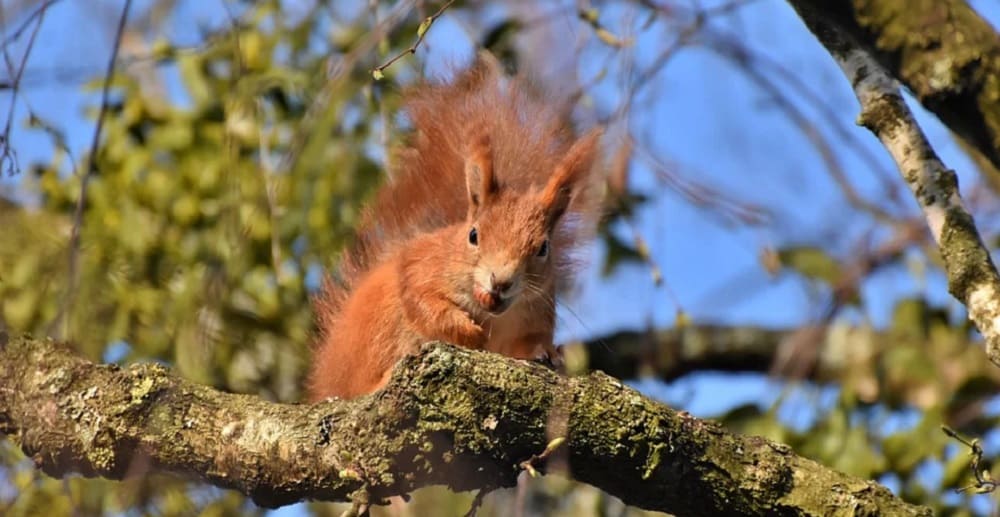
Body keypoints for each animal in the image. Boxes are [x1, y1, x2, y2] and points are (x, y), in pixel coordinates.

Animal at [307, 57, 603, 401]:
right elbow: (426, 305)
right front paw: (471, 334)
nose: (501, 282)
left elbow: (526, 344)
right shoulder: (419, 268)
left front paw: (547, 352)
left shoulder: (536, 312)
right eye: (473, 235)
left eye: (543, 248)